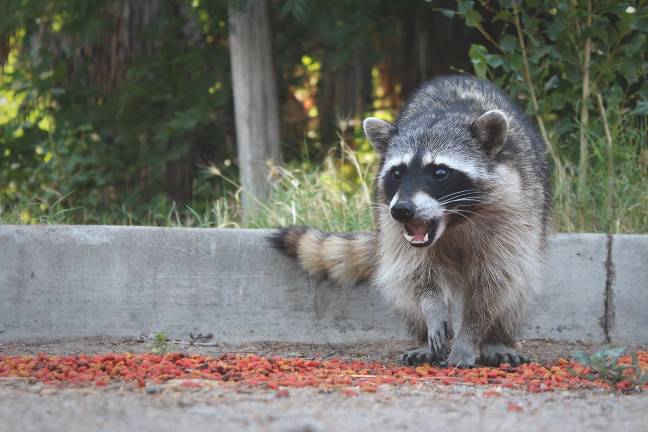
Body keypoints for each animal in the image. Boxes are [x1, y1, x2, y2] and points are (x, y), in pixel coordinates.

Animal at [270, 75, 551, 367]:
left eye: (440, 172)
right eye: (397, 173)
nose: (402, 210)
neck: (453, 222)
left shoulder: (513, 211)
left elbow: (494, 283)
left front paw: (469, 337)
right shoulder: (392, 224)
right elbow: (416, 273)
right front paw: (432, 307)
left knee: (515, 290)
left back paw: (498, 338)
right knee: (402, 285)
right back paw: (422, 337)